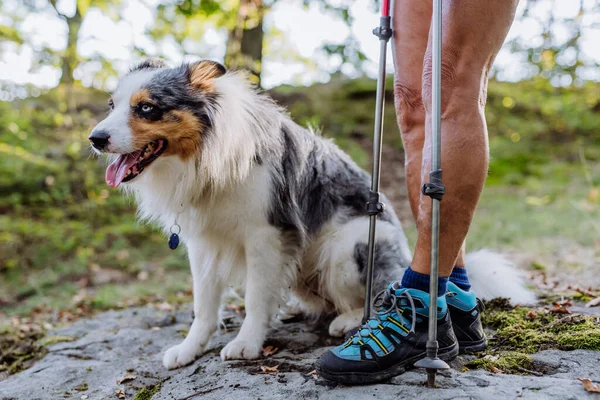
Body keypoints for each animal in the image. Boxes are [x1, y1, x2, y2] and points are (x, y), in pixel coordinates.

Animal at [90, 58, 536, 368]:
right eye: (112, 105)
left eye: (147, 108)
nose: (95, 138)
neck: (207, 153)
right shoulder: (202, 242)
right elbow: (204, 304)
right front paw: (188, 349)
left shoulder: (268, 234)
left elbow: (255, 297)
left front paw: (246, 343)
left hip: (348, 247)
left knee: (377, 293)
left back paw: (350, 321)